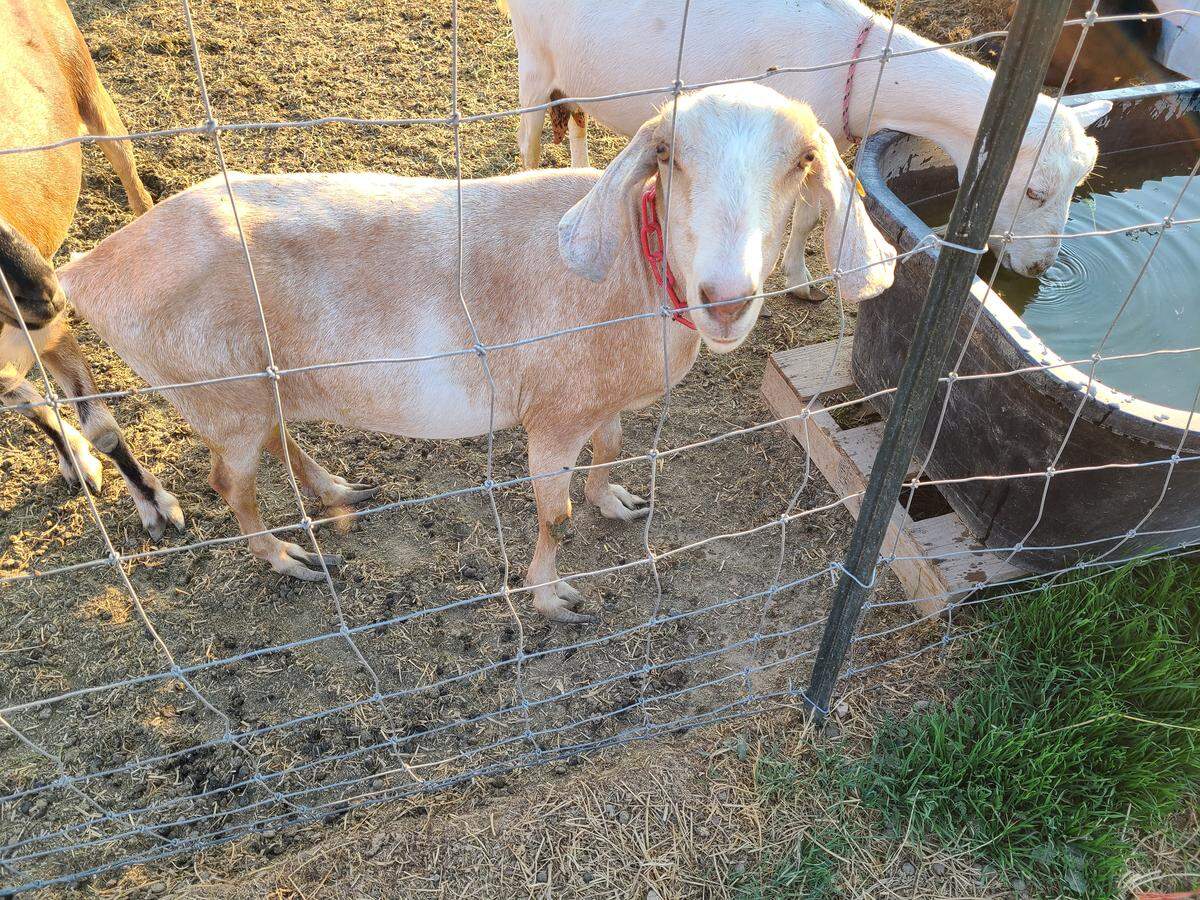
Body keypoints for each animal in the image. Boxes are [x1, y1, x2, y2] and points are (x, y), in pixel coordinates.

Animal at [0, 0, 182, 538]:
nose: (48, 294)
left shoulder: (50, 334)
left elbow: (101, 428)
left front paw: (155, 504)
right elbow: (33, 407)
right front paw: (75, 462)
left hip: (89, 88)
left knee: (131, 176)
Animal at [56, 84, 896, 623]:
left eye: (801, 162)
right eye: (671, 156)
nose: (724, 296)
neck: (630, 269)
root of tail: (89, 269)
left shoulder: (595, 400)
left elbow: (614, 448)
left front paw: (618, 502)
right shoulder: (551, 416)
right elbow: (555, 514)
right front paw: (555, 599)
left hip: (261, 384)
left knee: (278, 439)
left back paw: (338, 490)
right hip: (216, 391)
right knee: (229, 484)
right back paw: (290, 559)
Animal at [499, 0, 1113, 289]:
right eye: (1034, 190)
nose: (1039, 268)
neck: (856, 66)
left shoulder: (819, 140)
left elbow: (814, 212)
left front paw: (800, 279)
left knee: (575, 115)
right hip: (532, 52)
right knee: (529, 132)